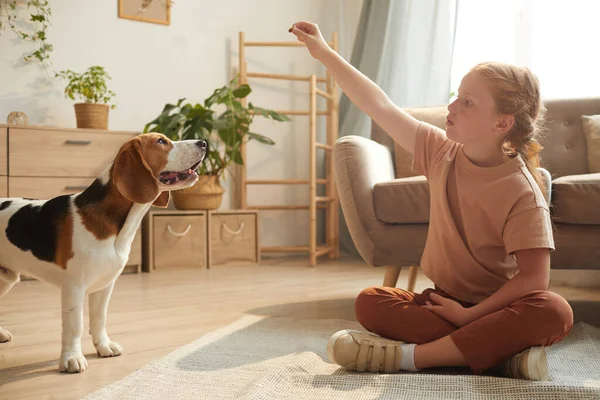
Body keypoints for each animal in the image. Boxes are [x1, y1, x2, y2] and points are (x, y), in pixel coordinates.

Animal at [0, 133, 206, 374]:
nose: (203, 143)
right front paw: (72, 358)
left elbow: (99, 319)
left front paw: (103, 346)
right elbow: (75, 325)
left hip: (5, 278)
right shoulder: (74, 286)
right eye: (161, 142)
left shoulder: (105, 284)